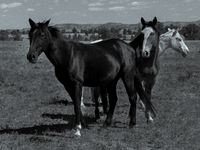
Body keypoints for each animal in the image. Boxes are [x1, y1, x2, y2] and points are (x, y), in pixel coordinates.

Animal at [27, 18, 157, 136]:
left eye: (42, 35)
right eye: (30, 35)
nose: (31, 56)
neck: (67, 55)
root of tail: (129, 47)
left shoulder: (76, 84)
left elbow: (77, 105)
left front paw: (78, 130)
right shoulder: (67, 85)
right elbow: (76, 104)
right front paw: (82, 124)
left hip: (127, 77)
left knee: (132, 97)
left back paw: (132, 123)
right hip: (112, 80)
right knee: (114, 99)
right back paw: (106, 123)